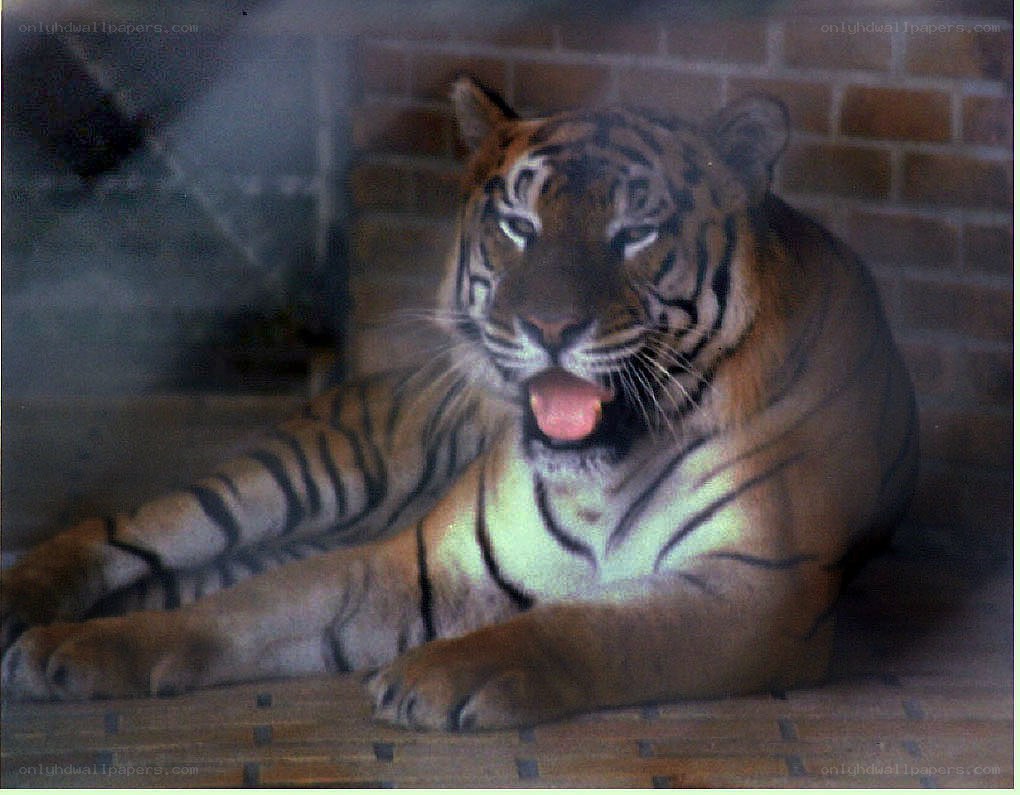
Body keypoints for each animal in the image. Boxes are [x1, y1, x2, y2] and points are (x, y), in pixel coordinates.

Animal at [0, 77, 917, 731]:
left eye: (634, 234)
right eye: (517, 225)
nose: (550, 328)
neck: (603, 471)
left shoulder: (757, 588)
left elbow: (593, 625)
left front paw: (442, 673)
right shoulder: (413, 560)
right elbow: (245, 608)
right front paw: (71, 651)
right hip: (319, 468)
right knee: (124, 529)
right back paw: (22, 608)